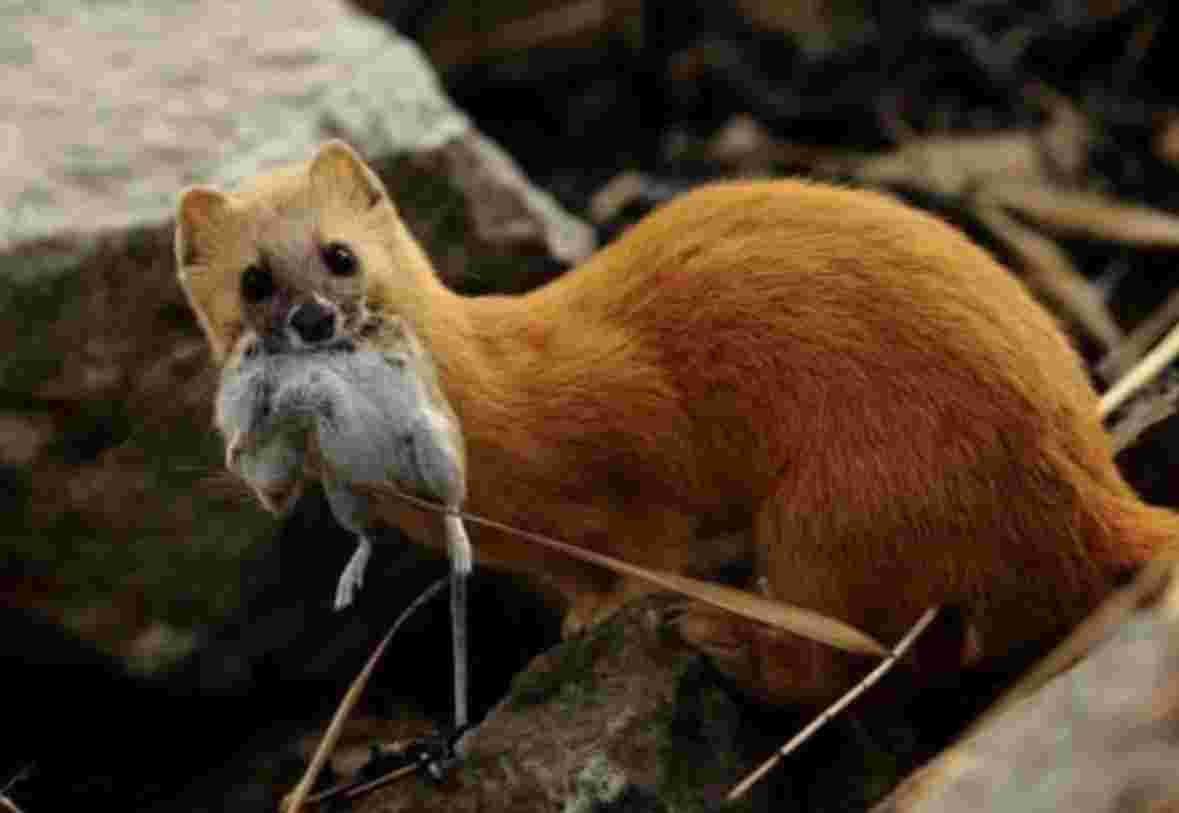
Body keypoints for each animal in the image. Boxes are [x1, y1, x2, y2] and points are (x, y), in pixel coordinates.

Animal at [176, 139, 1179, 702]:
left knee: (840, 658)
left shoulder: (626, 437)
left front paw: (623, 605)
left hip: (836, 506)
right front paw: (581, 613)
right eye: (253, 280)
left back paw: (722, 640)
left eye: (340, 254)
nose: (313, 318)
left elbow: (649, 528)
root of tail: (1087, 475)